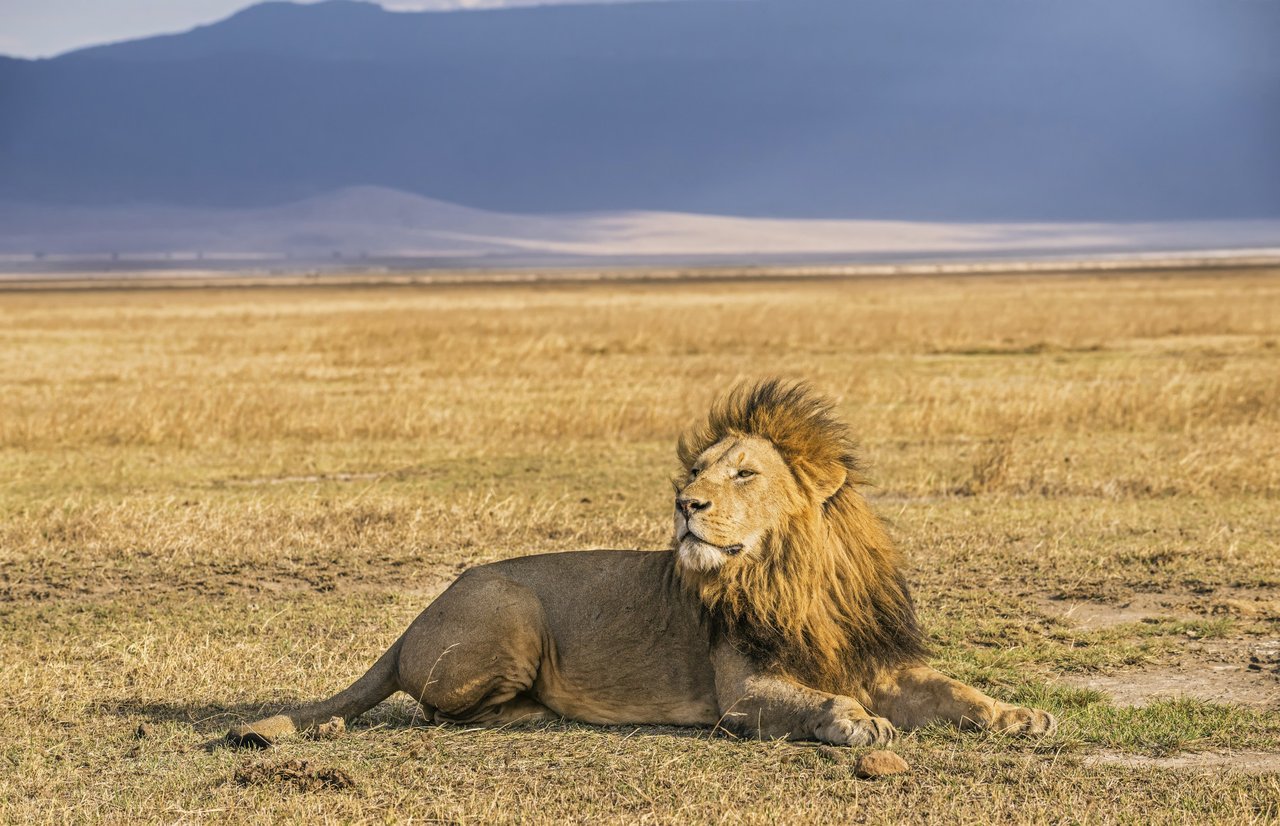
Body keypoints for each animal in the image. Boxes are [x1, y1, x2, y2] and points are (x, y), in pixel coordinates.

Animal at [225, 379, 1054, 747]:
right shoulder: (741, 693)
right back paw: (532, 711)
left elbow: (956, 691)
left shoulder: (877, 660)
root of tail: (411, 622)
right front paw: (858, 725)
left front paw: (1021, 714)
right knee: (437, 709)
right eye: (698, 470)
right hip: (510, 607)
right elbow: (816, 703)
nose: (686, 503)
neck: (793, 577)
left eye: (744, 474)